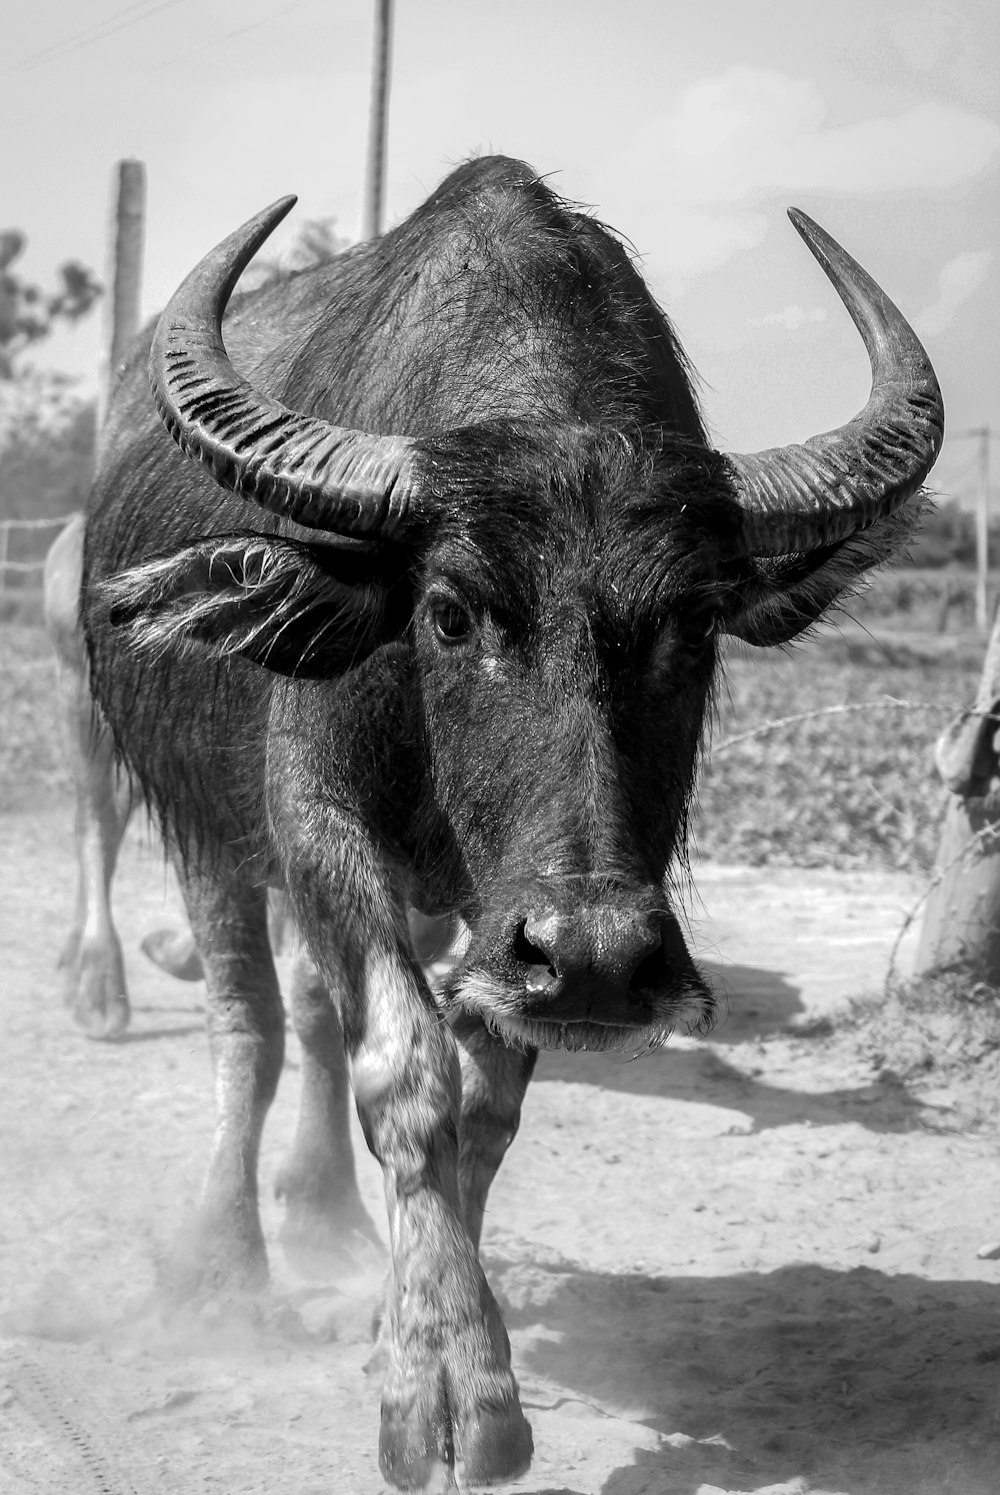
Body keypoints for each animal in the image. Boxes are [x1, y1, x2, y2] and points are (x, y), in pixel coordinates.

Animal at [79, 157, 944, 1489]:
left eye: (693, 627)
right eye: (446, 611)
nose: (595, 957)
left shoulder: (509, 924)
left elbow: (481, 1109)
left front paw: (436, 1343)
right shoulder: (315, 819)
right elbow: (406, 1066)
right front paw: (437, 1389)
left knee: (311, 1013)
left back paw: (327, 1221)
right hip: (200, 820)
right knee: (254, 1025)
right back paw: (222, 1267)